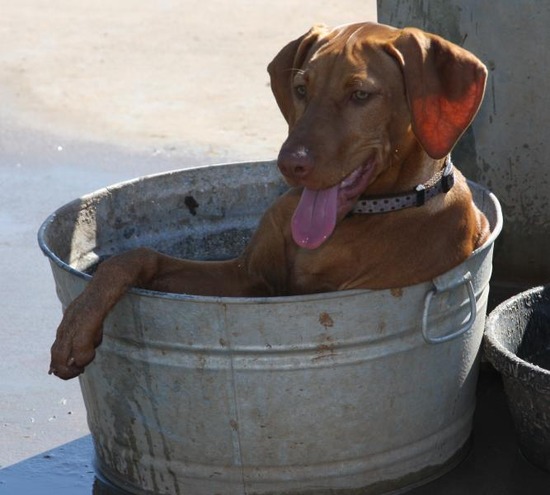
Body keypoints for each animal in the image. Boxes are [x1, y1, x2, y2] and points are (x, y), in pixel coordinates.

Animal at [49, 22, 492, 380]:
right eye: (301, 89)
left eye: (361, 94)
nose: (289, 164)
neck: (360, 216)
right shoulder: (247, 279)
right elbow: (136, 258)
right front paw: (75, 327)